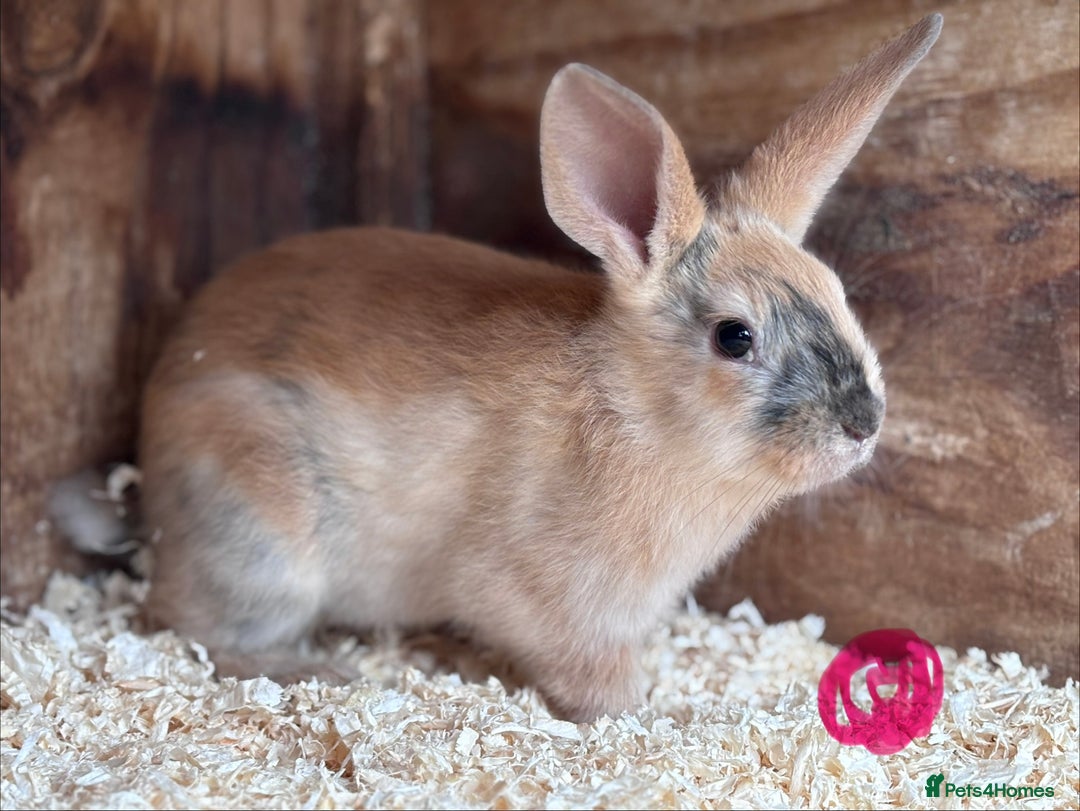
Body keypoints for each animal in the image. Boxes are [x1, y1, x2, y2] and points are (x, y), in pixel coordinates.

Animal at [134, 14, 941, 721]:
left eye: (837, 293)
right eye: (734, 337)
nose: (864, 425)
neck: (635, 414)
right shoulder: (546, 602)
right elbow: (588, 668)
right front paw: (633, 716)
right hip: (262, 536)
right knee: (201, 628)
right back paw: (314, 669)